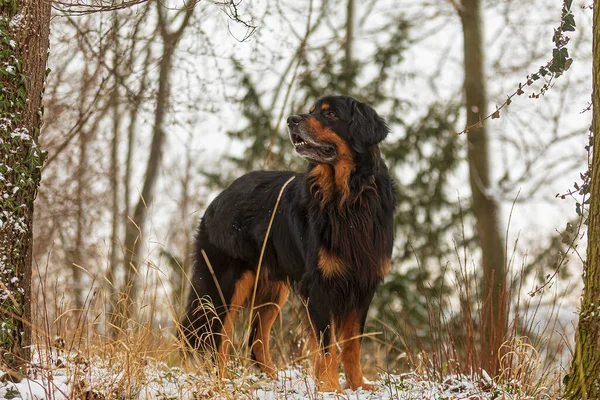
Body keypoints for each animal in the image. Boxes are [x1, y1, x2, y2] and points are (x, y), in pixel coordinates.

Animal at [182, 94, 394, 390]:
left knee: (255, 339)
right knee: (216, 338)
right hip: (226, 282)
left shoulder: (364, 283)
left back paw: (270, 381)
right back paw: (222, 382)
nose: (292, 120)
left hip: (272, 289)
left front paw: (358, 386)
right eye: (311, 111)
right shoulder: (319, 285)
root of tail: (219, 197)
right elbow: (326, 346)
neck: (347, 198)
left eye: (330, 114)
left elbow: (352, 344)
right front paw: (331, 387)